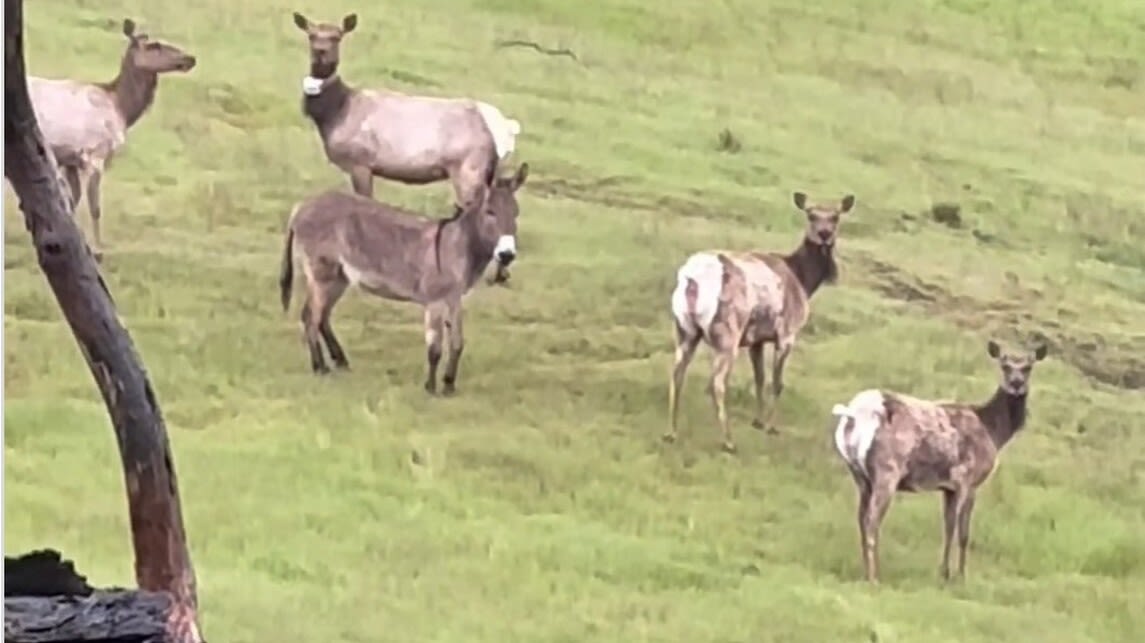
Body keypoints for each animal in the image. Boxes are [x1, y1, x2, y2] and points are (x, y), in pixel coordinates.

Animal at [24, 20, 196, 260]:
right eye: (154, 45)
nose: (190, 58)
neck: (121, 108)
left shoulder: (71, 159)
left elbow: (72, 201)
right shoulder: (95, 153)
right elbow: (94, 206)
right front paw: (98, 250)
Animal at [279, 160, 528, 391]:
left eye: (516, 213)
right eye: (490, 212)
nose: (507, 255)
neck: (457, 245)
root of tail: (301, 207)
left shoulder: (455, 298)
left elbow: (457, 342)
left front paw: (449, 385)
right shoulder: (435, 301)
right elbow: (435, 347)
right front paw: (430, 388)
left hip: (339, 277)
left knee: (322, 317)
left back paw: (340, 362)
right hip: (322, 274)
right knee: (310, 317)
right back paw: (320, 368)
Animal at [288, 10, 522, 282]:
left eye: (337, 36)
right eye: (312, 35)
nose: (321, 51)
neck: (335, 113)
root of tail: (505, 129)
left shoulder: (361, 162)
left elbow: (366, 199)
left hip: (468, 170)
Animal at [668, 189, 856, 450]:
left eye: (835, 216)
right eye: (811, 215)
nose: (824, 234)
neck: (804, 280)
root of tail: (692, 280)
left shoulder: (756, 339)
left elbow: (759, 378)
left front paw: (757, 421)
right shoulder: (787, 333)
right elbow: (777, 382)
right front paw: (771, 426)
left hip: (684, 328)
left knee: (676, 373)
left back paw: (672, 432)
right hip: (728, 333)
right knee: (717, 382)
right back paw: (728, 441)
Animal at [828, 338, 1048, 583]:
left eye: (1028, 367)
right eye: (1005, 366)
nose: (1016, 383)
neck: (993, 431)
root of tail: (854, 413)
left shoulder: (948, 487)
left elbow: (948, 528)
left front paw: (944, 573)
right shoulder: (968, 479)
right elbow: (964, 533)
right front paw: (961, 576)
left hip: (859, 475)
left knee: (861, 519)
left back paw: (867, 572)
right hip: (887, 470)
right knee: (872, 521)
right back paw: (874, 577)